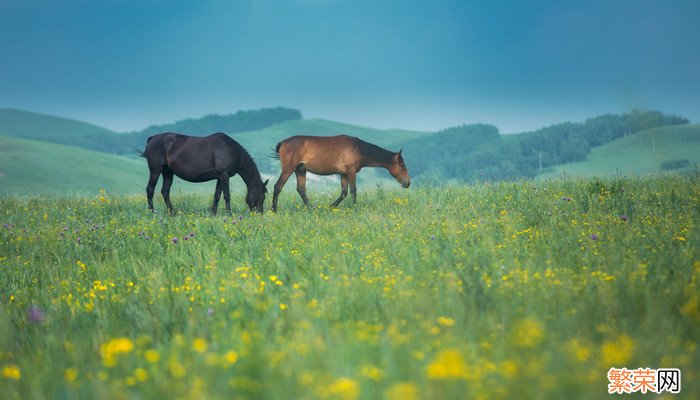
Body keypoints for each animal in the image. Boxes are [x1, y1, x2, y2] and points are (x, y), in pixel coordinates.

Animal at [270, 134, 410, 211]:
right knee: (278, 187)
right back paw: (274, 210)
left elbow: (344, 192)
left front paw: (331, 206)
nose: (407, 183)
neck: (358, 148)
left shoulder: (343, 174)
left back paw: (311, 208)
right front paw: (354, 208)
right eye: (402, 165)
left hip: (300, 170)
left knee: (301, 190)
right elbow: (353, 191)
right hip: (288, 170)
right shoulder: (351, 172)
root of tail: (283, 143)